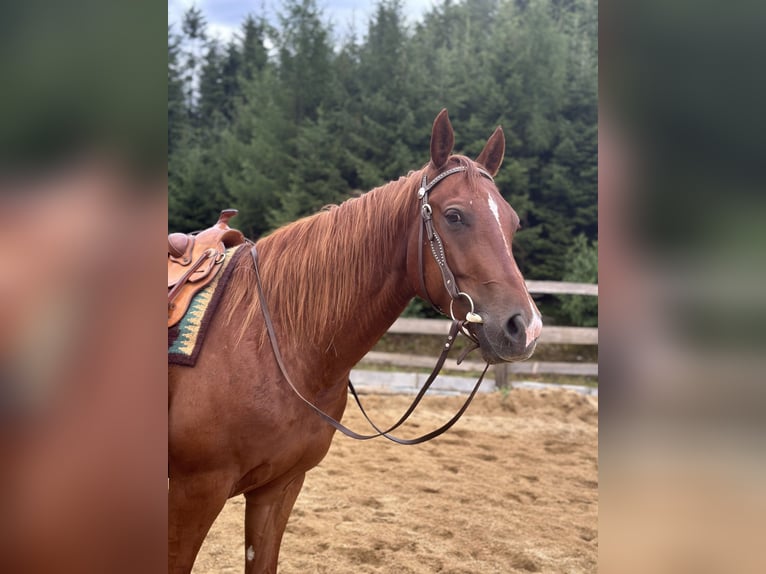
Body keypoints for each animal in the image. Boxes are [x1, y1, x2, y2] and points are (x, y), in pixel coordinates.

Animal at [168, 109, 543, 573]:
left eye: (513, 221)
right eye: (454, 215)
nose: (525, 327)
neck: (268, 342)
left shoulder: (279, 489)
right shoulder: (194, 494)